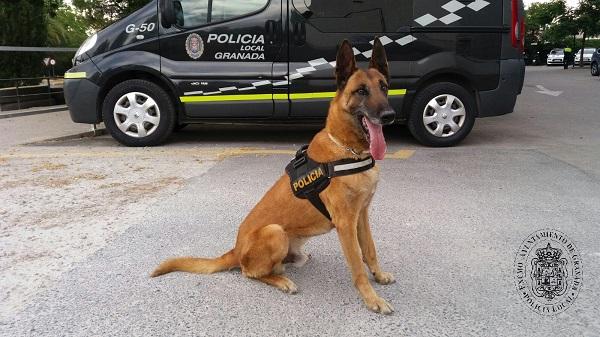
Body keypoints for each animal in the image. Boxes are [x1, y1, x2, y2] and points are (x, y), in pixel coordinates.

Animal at [152, 38, 398, 314]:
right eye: (361, 91)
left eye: (384, 87)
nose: (389, 116)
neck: (347, 149)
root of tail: (236, 249)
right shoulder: (345, 223)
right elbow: (357, 264)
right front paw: (372, 298)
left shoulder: (361, 215)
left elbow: (370, 250)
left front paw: (379, 276)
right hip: (274, 232)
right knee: (250, 272)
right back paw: (282, 281)